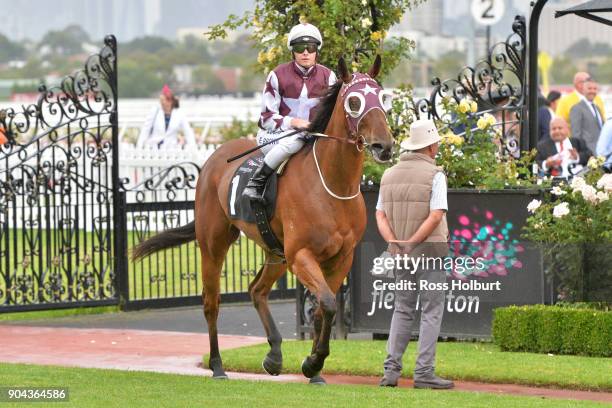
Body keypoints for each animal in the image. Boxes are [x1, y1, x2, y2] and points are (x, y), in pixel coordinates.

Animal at [132, 55, 394, 384]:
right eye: (354, 101)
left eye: (383, 97)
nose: (384, 146)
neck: (332, 187)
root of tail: (216, 156)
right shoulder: (300, 255)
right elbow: (328, 303)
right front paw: (312, 363)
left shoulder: (341, 257)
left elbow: (323, 308)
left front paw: (314, 369)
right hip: (215, 243)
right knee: (211, 302)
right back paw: (217, 365)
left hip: (275, 252)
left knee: (257, 290)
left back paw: (274, 355)